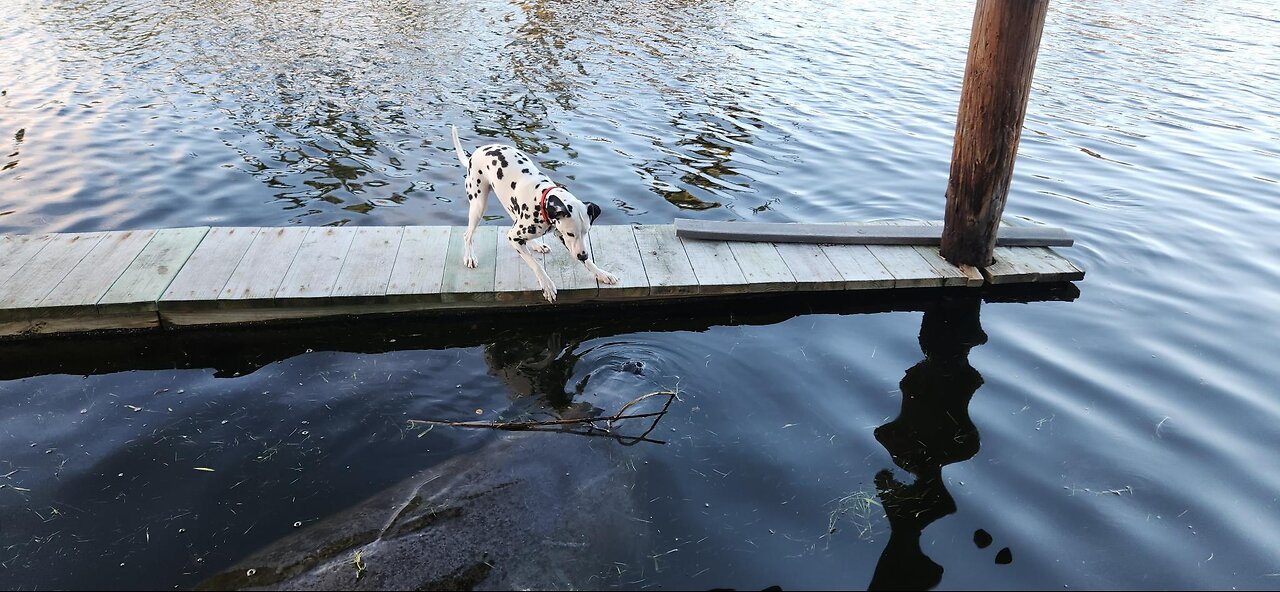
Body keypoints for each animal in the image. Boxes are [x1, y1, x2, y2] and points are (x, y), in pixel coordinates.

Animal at [453, 123, 616, 301]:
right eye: (571, 233)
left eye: (586, 232)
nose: (583, 256)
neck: (542, 199)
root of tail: (475, 154)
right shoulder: (514, 237)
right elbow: (535, 264)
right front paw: (547, 284)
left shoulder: (563, 238)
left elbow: (589, 262)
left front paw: (601, 273)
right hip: (478, 205)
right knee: (467, 235)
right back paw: (469, 256)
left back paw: (536, 244)